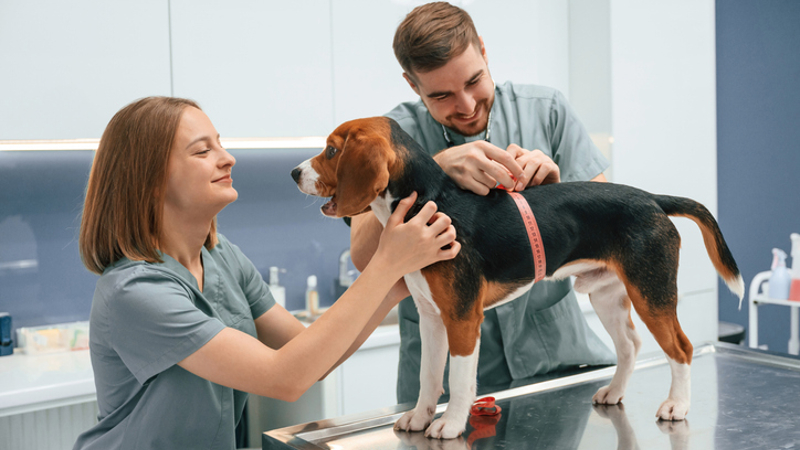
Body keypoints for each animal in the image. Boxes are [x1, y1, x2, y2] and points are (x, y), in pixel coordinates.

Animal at [290, 116, 748, 440]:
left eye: (330, 150)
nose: (294, 173)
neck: (432, 202)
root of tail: (651, 198)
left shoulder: (462, 319)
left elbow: (458, 380)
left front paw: (450, 425)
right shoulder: (432, 319)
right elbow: (427, 378)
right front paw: (419, 417)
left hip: (651, 292)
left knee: (681, 348)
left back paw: (677, 406)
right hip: (606, 295)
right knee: (631, 345)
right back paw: (615, 391)